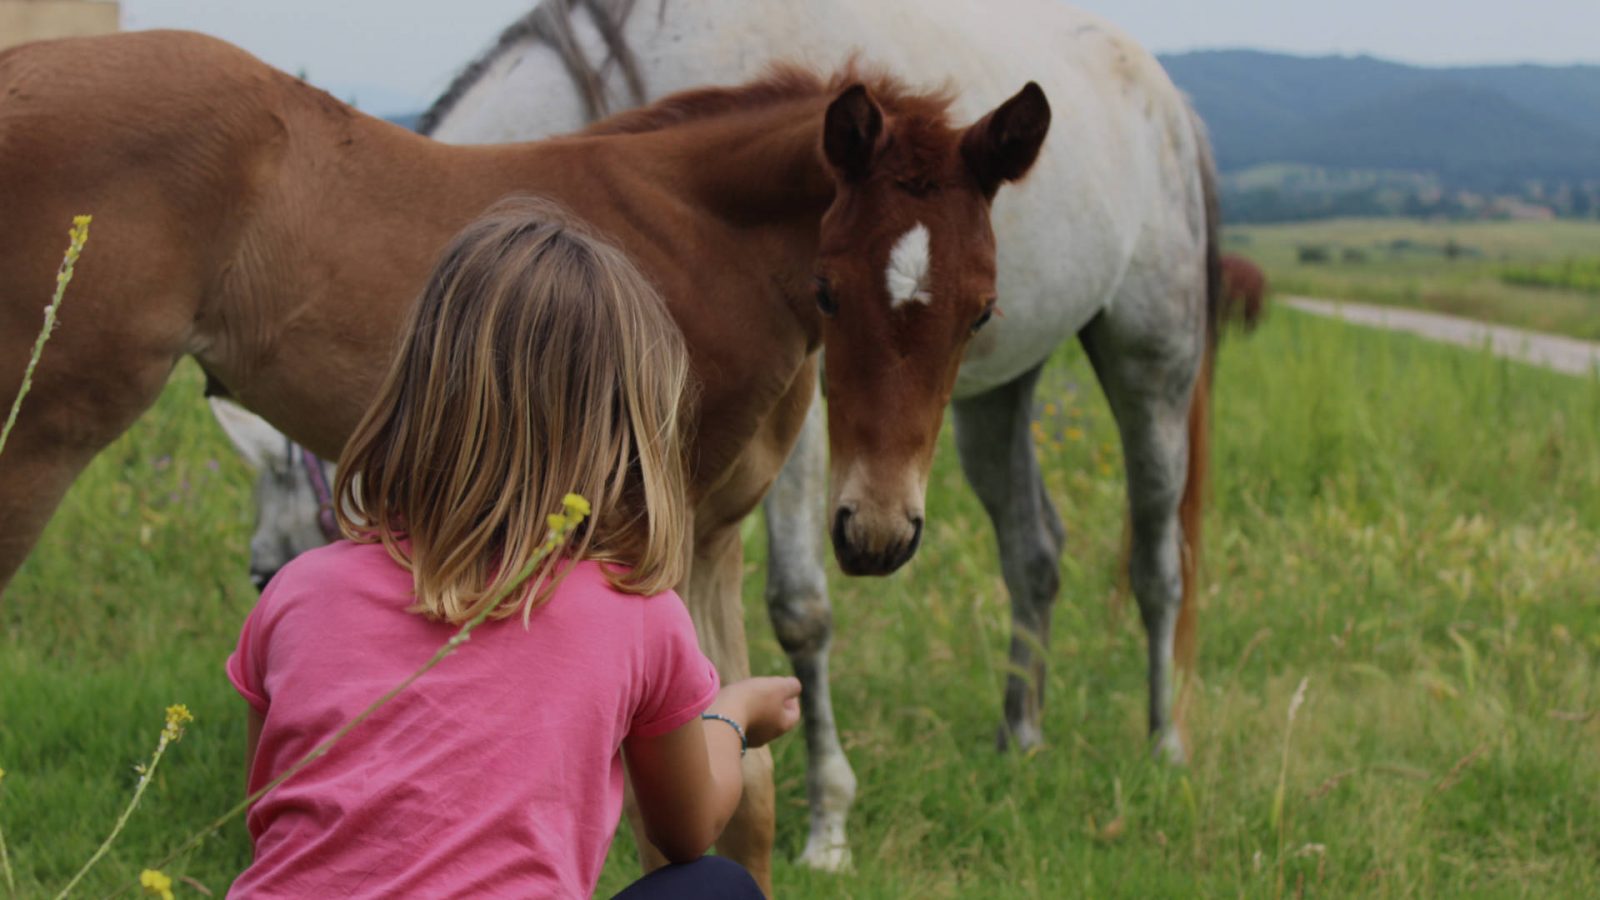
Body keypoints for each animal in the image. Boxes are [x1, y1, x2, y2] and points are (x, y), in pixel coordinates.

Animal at [219, 0, 1209, 877]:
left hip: (1149, 356)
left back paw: (1165, 744)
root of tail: (1162, 90)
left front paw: (828, 821)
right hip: (998, 395)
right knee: (1033, 549)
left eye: (267, 570)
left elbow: (798, 611)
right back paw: (1020, 733)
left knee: (1158, 557)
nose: (279, 782)